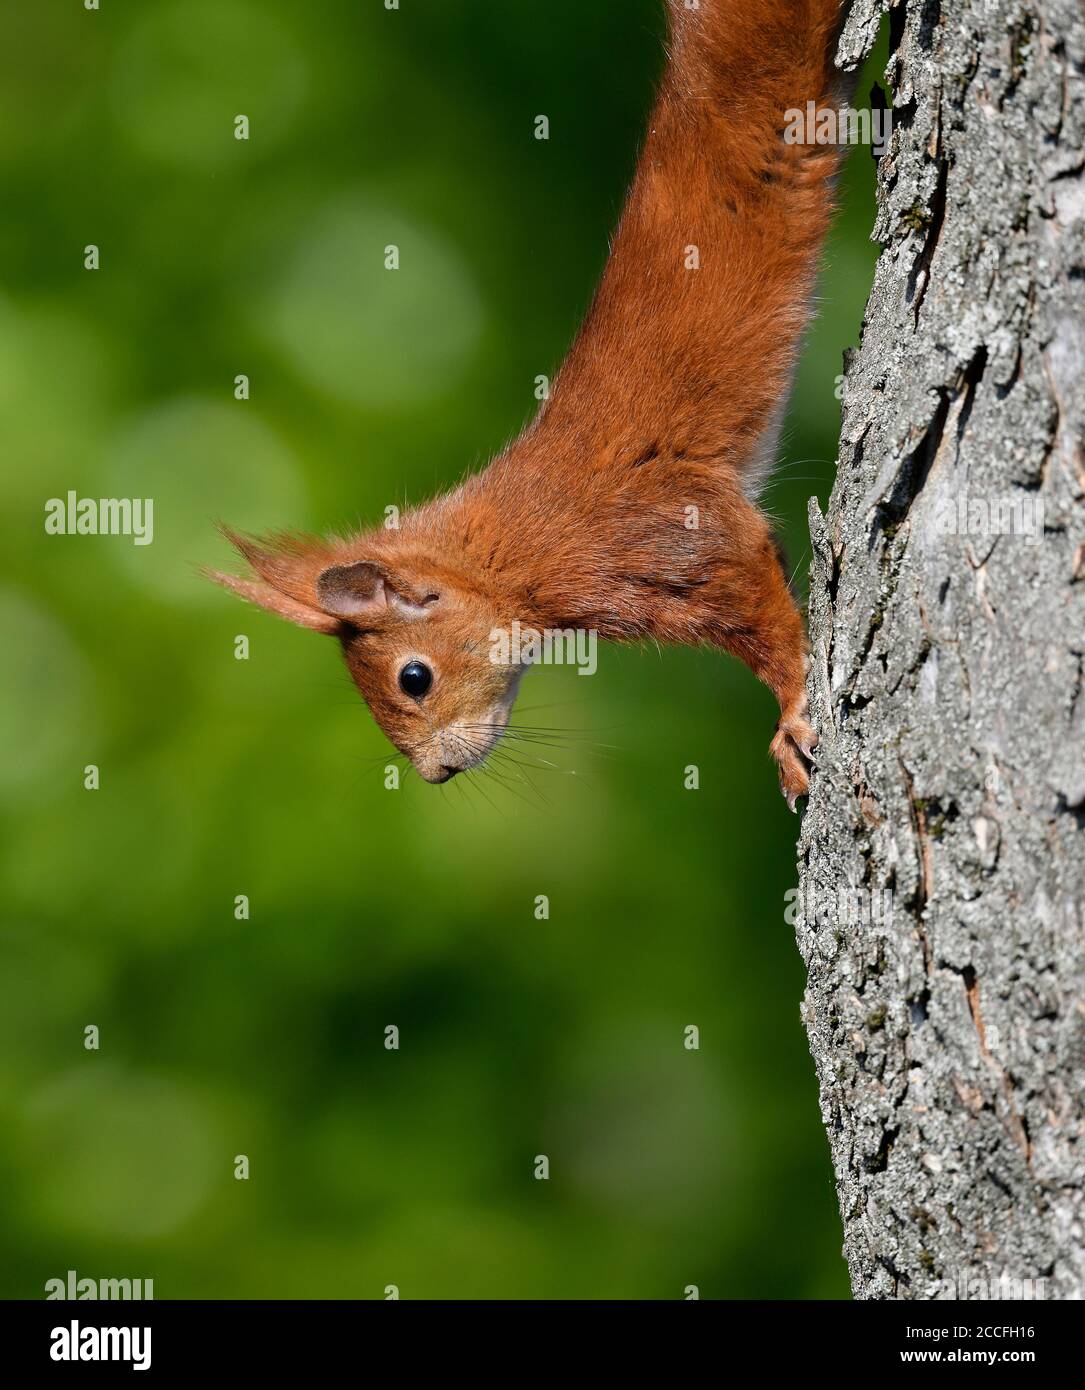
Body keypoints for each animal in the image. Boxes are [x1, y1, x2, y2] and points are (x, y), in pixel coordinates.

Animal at [206, 2, 844, 806]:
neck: (503, 556)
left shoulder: (656, 541)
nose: (436, 774)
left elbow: (760, 609)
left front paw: (791, 720)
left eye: (413, 677)